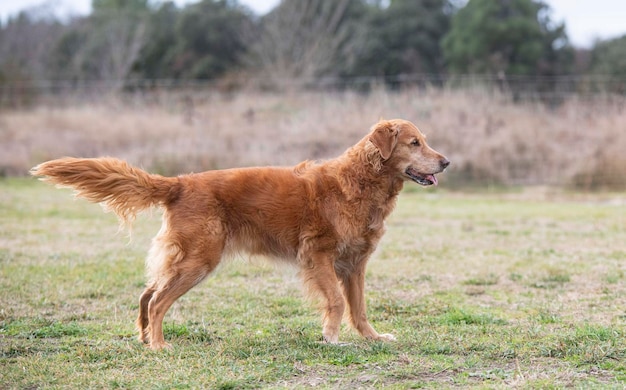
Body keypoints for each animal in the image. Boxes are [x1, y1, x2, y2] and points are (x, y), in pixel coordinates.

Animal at [30, 119, 448, 350]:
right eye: (414, 143)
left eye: (425, 141)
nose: (446, 161)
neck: (361, 181)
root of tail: (179, 183)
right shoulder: (318, 256)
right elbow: (337, 303)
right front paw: (331, 337)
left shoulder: (354, 265)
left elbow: (359, 309)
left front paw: (372, 339)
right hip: (199, 260)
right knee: (158, 301)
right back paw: (160, 345)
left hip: (185, 259)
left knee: (146, 294)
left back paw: (146, 339)